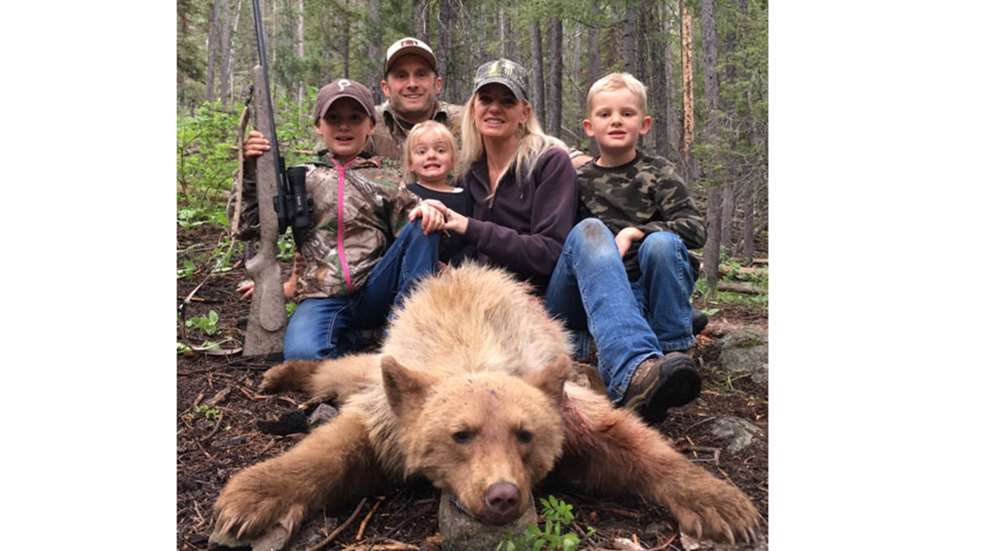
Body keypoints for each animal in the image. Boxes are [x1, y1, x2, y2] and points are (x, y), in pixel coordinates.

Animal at [211, 263, 761, 548]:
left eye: (525, 434)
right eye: (461, 434)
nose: (502, 496)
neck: (475, 349)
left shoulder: (567, 408)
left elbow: (627, 444)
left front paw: (721, 504)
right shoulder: (392, 413)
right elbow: (338, 447)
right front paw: (249, 499)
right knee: (344, 370)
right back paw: (281, 372)